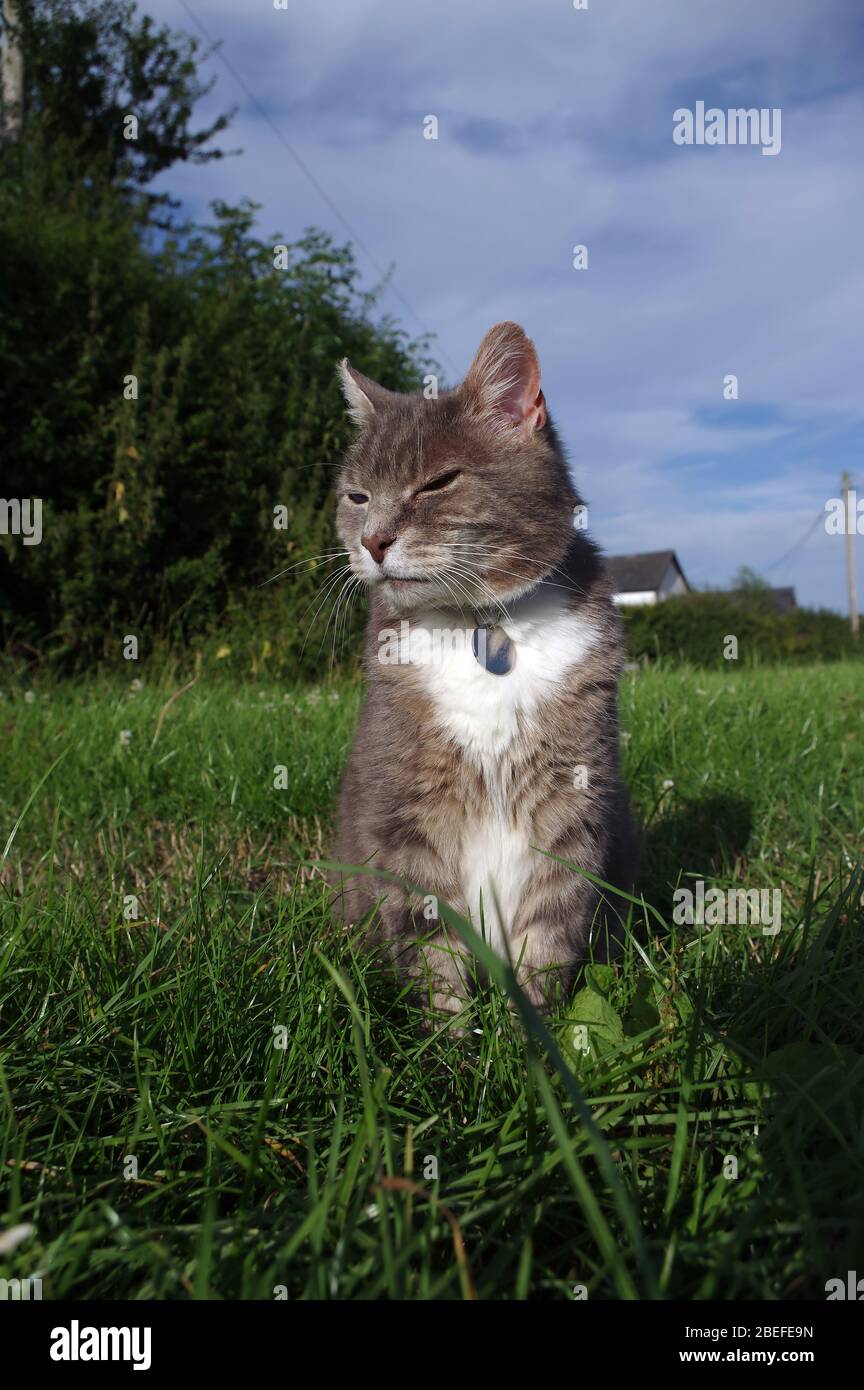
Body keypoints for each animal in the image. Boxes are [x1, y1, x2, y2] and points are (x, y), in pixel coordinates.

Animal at [331, 325, 644, 1023]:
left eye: (438, 482)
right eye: (357, 497)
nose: (372, 540)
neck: (479, 623)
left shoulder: (572, 800)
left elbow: (550, 930)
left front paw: (536, 1027)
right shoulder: (405, 808)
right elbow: (430, 943)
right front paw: (449, 1040)